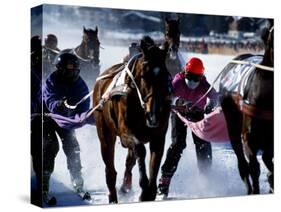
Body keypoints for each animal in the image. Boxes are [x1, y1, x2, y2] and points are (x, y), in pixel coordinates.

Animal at [92, 37, 171, 203]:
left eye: (165, 75)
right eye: (144, 75)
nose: (153, 113)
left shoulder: (159, 135)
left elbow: (155, 159)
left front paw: (149, 191)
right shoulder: (126, 133)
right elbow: (140, 150)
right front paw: (144, 187)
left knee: (129, 160)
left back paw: (125, 186)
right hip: (104, 132)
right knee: (110, 168)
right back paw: (113, 196)